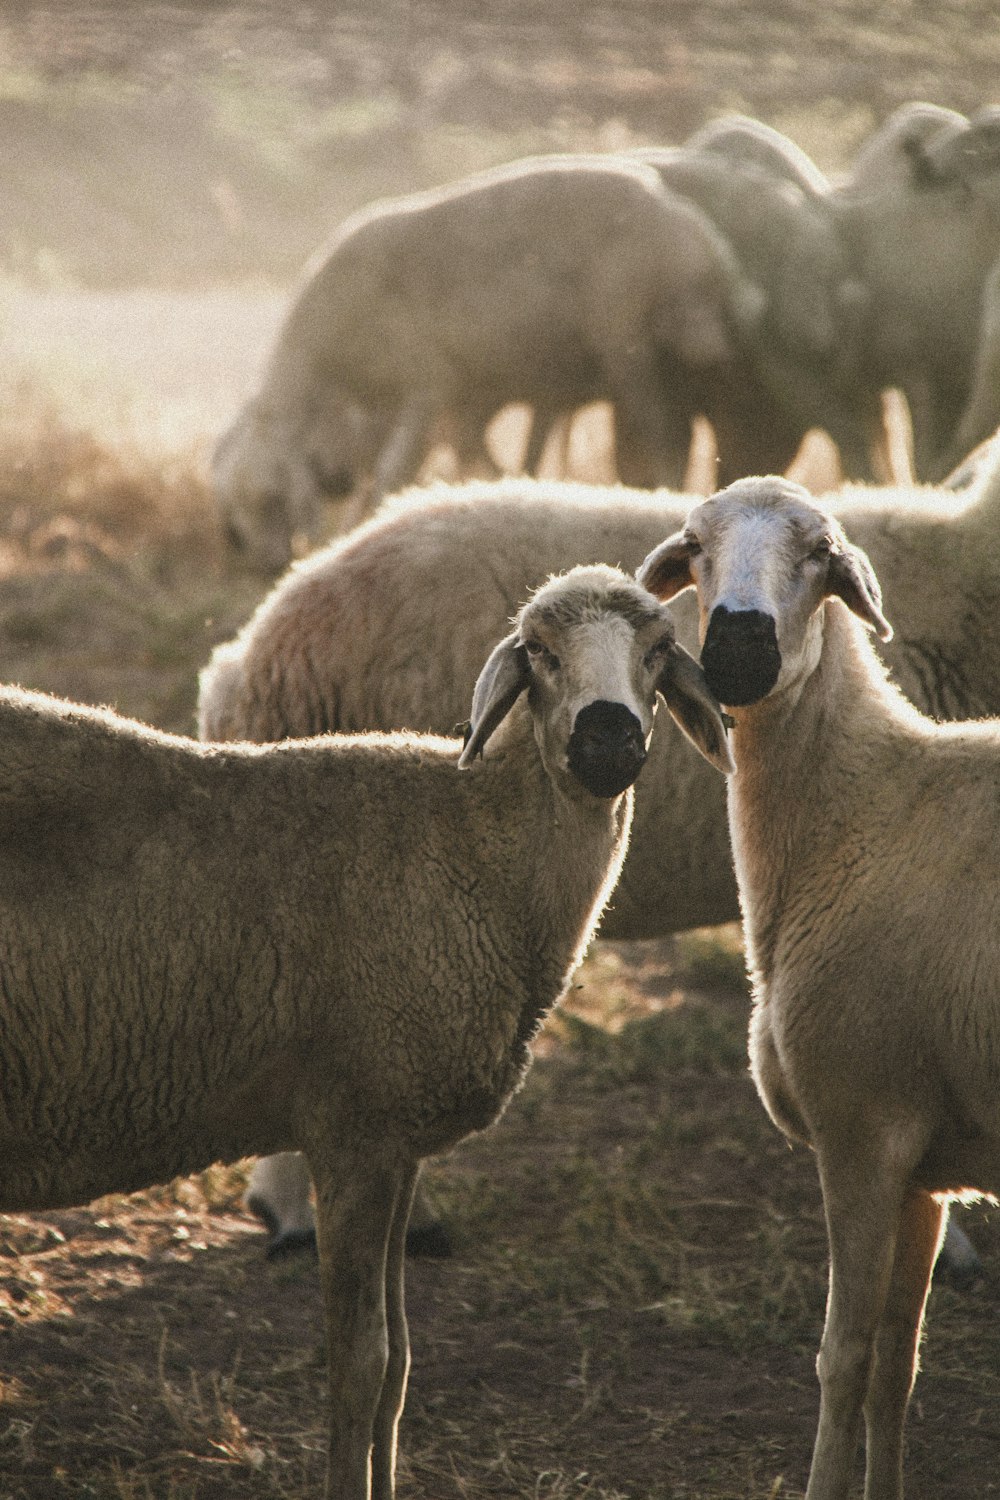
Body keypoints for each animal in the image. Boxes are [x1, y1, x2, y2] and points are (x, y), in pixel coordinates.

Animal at [0, 564, 734, 1500]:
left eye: (660, 649)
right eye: (537, 650)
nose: (607, 740)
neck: (475, 844)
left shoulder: (400, 1140)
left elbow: (400, 1366)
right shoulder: (353, 1130)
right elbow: (362, 1365)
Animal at [206, 153, 761, 567]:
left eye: (272, 496)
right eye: (233, 514)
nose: (269, 566)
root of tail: (699, 235)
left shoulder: (425, 386)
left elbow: (391, 472)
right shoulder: (453, 399)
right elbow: (471, 458)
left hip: (629, 343)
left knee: (662, 437)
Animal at [641, 477, 1000, 1500]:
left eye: (820, 553)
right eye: (695, 546)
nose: (738, 643)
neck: (868, 804)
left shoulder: (862, 1129)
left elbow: (840, 1360)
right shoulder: (925, 1166)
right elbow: (895, 1367)